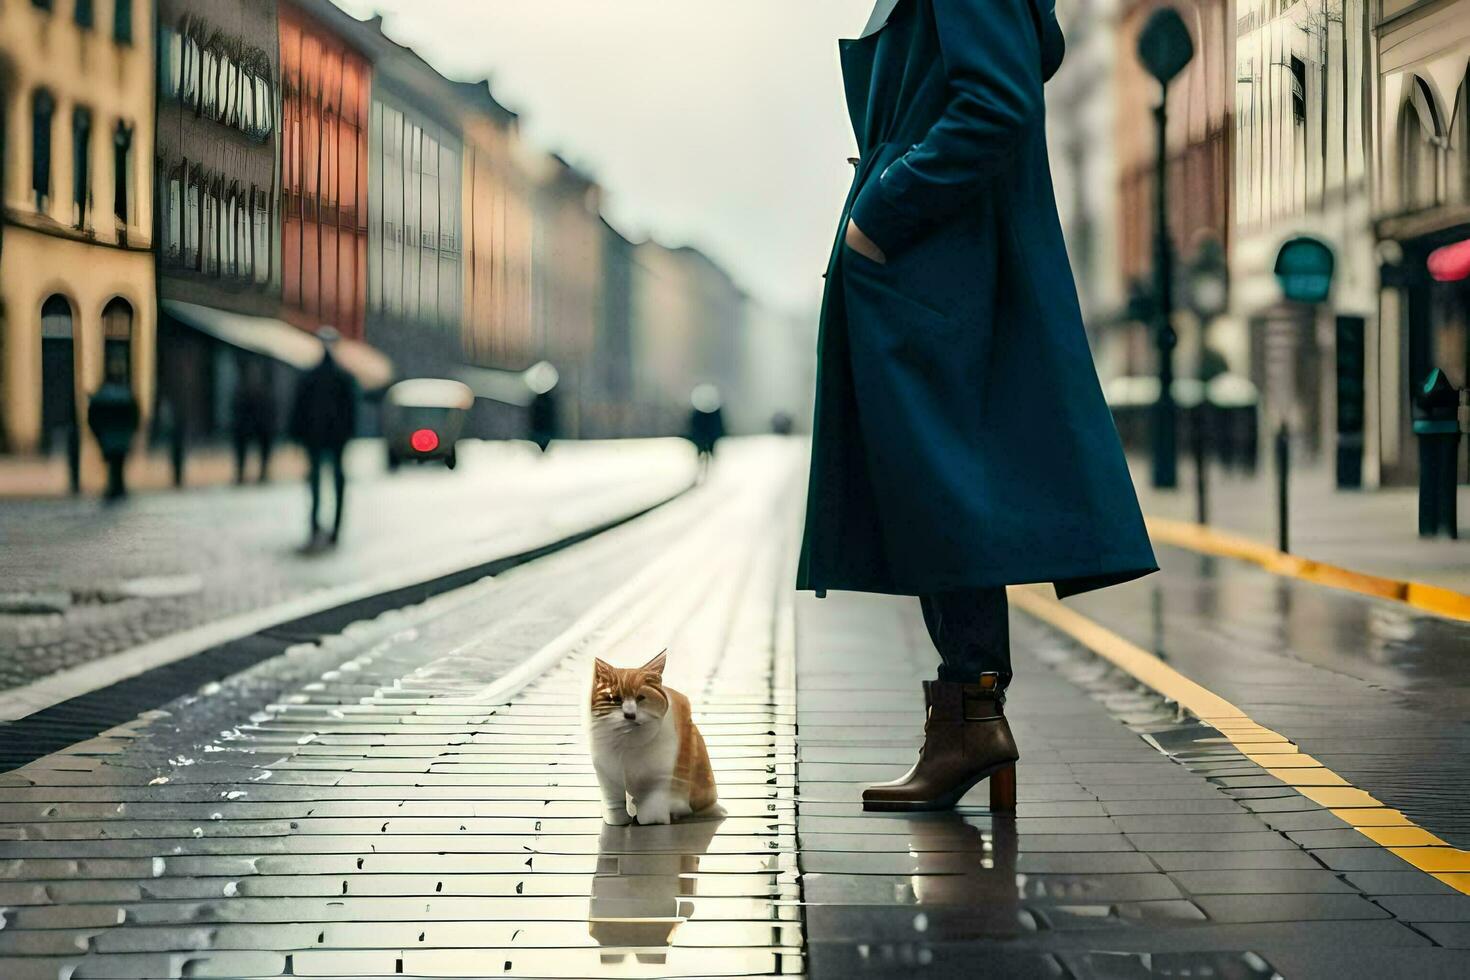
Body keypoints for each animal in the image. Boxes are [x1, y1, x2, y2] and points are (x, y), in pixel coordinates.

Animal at [588, 652, 720, 828]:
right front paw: (617, 819)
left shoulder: (660, 776)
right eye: (615, 699)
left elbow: (653, 805)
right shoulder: (607, 773)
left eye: (640, 698)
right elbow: (614, 802)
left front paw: (651, 819)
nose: (629, 714)